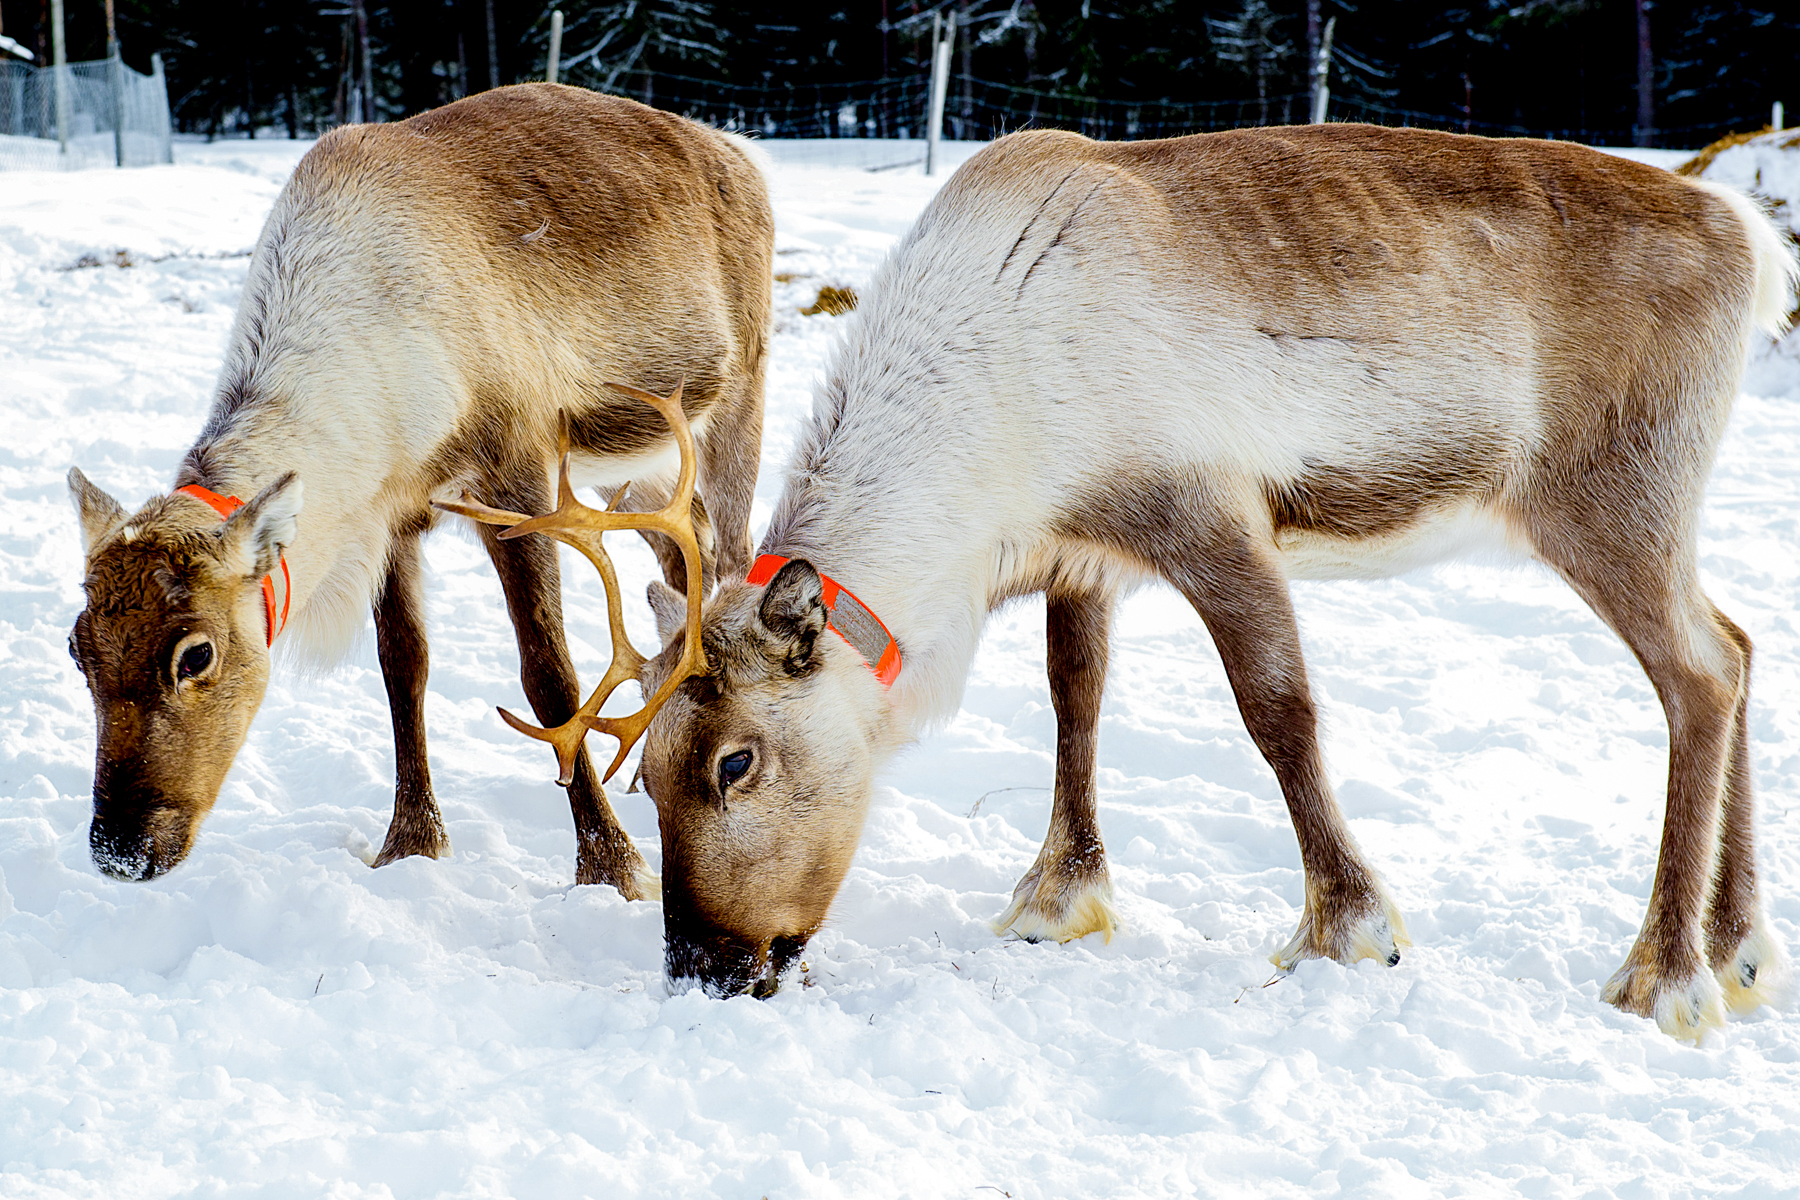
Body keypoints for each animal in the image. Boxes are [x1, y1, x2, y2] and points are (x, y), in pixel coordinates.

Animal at [64, 83, 772, 897]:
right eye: (77, 647)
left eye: (195, 654)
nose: (119, 849)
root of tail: (738, 148)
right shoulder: (391, 517)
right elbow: (403, 669)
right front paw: (410, 842)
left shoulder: (517, 476)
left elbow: (550, 676)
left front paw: (613, 865)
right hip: (647, 463)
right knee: (683, 552)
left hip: (738, 397)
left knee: (730, 554)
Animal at [617, 124, 1797, 1040]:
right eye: (646, 769)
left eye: (734, 763)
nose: (705, 968)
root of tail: (1749, 235)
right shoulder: (1083, 556)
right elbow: (1075, 704)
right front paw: (1061, 895)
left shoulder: (1210, 516)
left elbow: (1279, 712)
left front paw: (1350, 927)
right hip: (1656, 514)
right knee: (1738, 643)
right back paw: (1739, 948)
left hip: (1611, 498)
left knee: (1697, 674)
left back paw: (1664, 975)